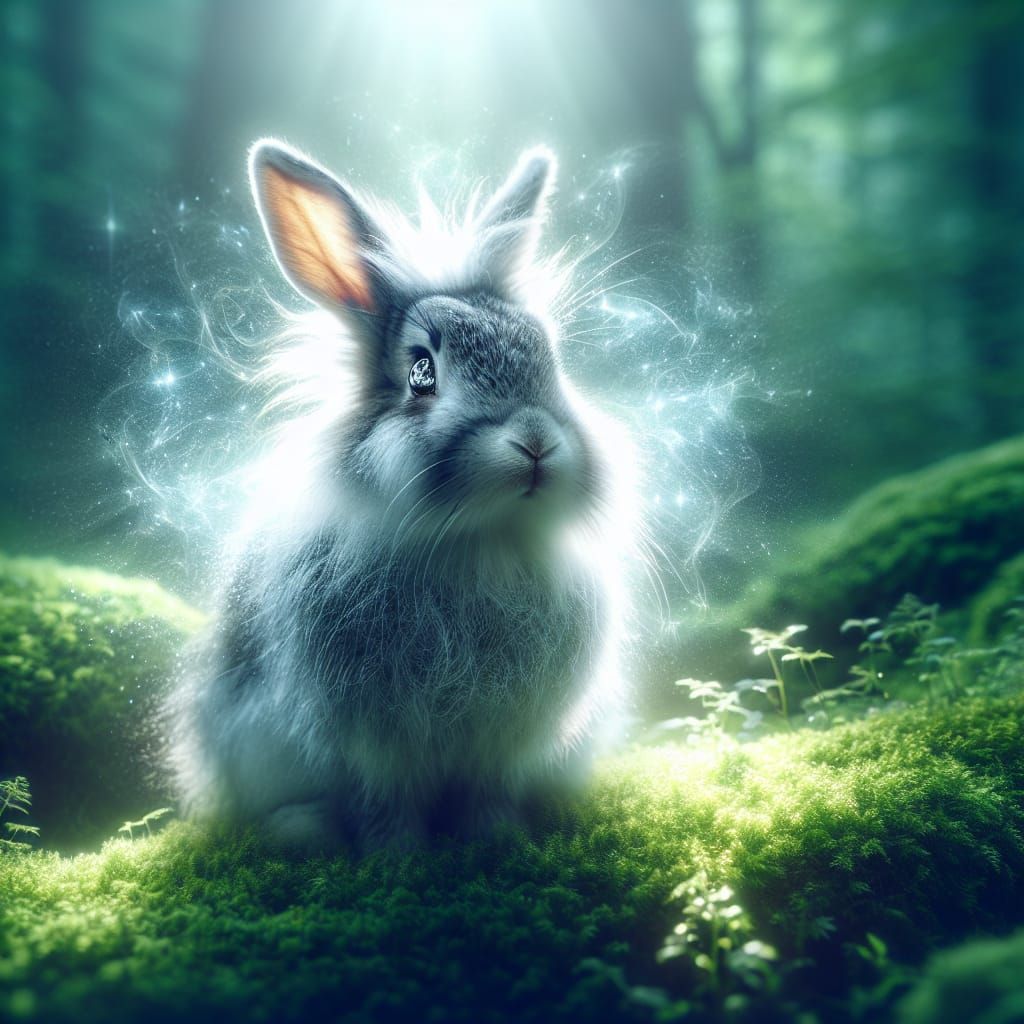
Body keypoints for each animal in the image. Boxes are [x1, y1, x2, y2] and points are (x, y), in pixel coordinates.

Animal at [169, 138, 634, 850]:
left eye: (549, 359)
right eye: (421, 373)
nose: (535, 443)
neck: (477, 542)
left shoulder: (498, 745)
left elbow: (487, 794)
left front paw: (499, 842)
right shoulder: (371, 746)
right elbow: (384, 805)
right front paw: (399, 857)